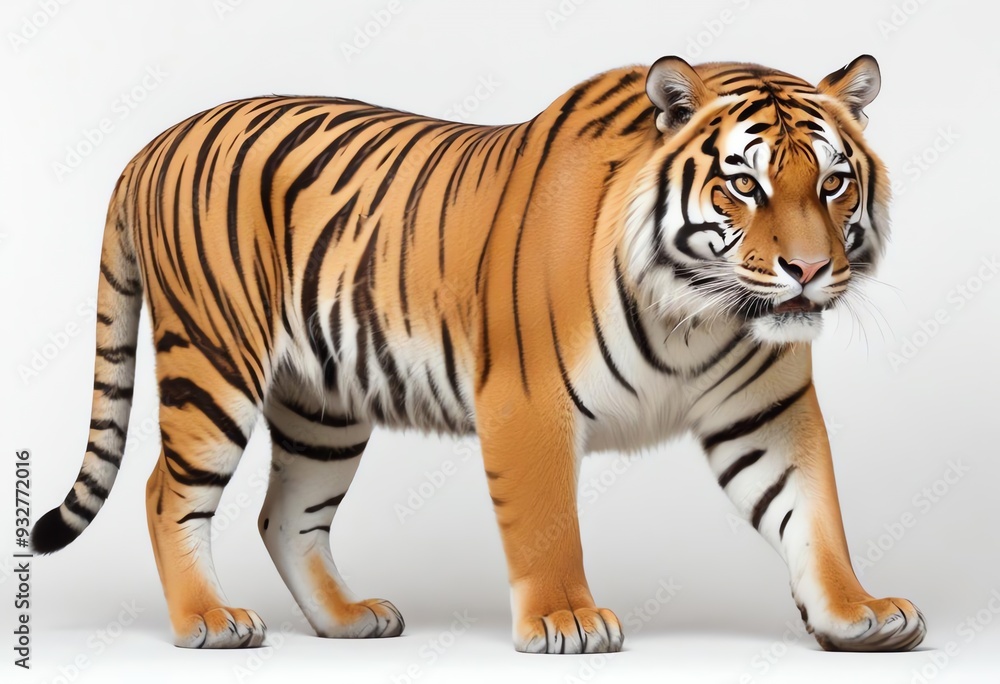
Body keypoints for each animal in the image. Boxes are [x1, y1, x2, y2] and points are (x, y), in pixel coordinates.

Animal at [32, 53, 926, 654]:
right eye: (745, 185)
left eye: (834, 182)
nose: (808, 271)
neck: (700, 314)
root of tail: (153, 144)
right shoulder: (530, 401)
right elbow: (546, 523)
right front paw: (568, 619)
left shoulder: (769, 412)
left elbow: (813, 511)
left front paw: (859, 613)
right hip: (214, 364)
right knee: (165, 492)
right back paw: (209, 621)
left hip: (323, 404)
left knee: (285, 515)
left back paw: (347, 620)